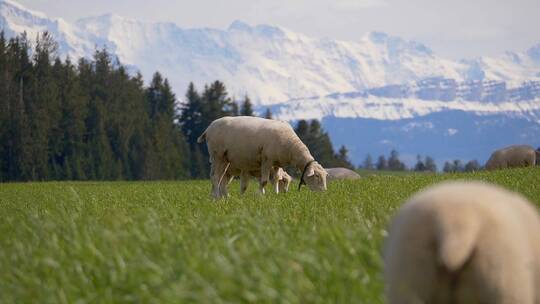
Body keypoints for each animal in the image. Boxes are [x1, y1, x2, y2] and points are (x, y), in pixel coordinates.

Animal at [197, 115, 326, 198]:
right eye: (317, 176)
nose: (324, 193)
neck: (290, 146)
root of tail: (209, 128)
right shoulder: (266, 160)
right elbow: (264, 181)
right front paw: (259, 195)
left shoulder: (276, 163)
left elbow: (276, 179)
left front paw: (276, 194)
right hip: (217, 155)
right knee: (215, 177)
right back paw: (216, 197)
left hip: (224, 160)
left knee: (218, 177)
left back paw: (218, 197)